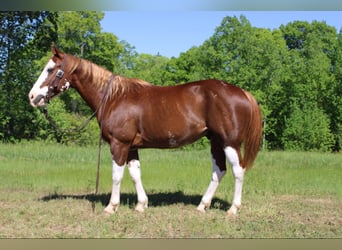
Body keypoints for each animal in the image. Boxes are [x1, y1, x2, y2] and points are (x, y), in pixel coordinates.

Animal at [28, 46, 262, 217]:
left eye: (50, 69)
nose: (32, 97)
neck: (113, 97)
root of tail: (242, 92)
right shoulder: (131, 147)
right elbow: (135, 174)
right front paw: (141, 204)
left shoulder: (119, 144)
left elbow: (117, 175)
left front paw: (111, 207)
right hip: (216, 142)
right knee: (219, 171)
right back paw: (202, 205)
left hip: (230, 142)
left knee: (238, 171)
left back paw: (233, 209)